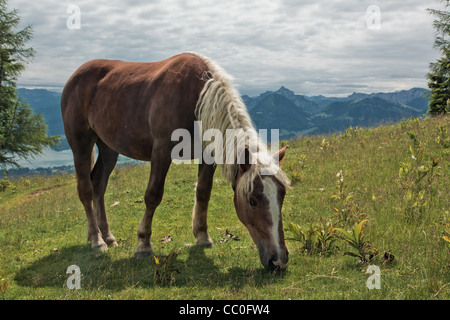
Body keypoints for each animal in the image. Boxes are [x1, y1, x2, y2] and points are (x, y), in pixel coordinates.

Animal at [60, 52, 292, 270]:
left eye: (282, 196)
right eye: (252, 201)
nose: (278, 261)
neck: (197, 97)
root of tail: (74, 76)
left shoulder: (208, 155)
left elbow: (203, 192)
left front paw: (202, 237)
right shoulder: (162, 151)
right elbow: (153, 195)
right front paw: (143, 245)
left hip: (109, 148)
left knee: (99, 185)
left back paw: (106, 236)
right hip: (81, 143)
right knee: (86, 189)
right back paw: (97, 240)